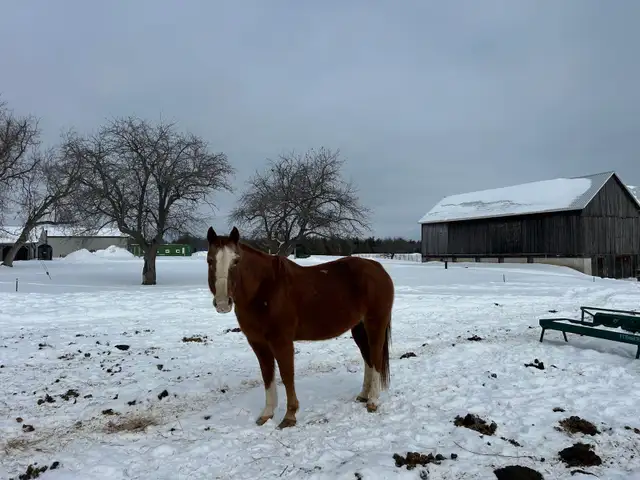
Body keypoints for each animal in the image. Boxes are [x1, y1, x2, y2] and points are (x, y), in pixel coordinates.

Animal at [206, 226, 394, 429]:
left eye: (236, 261)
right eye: (210, 260)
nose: (223, 303)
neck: (265, 289)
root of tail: (378, 269)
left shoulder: (282, 342)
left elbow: (287, 376)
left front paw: (289, 416)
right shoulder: (258, 343)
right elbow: (267, 376)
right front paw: (267, 414)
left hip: (375, 324)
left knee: (375, 357)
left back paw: (373, 401)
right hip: (359, 328)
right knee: (368, 358)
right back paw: (363, 396)